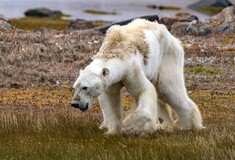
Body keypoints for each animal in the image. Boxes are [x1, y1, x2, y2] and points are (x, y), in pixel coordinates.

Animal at [70, 19, 204, 136]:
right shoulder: (111, 80)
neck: (116, 49)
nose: (75, 103)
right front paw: (112, 131)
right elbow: (110, 98)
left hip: (167, 57)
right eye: (74, 87)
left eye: (85, 87)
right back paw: (165, 125)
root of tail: (174, 38)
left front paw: (131, 126)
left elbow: (144, 90)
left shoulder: (131, 69)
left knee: (169, 88)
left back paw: (186, 126)